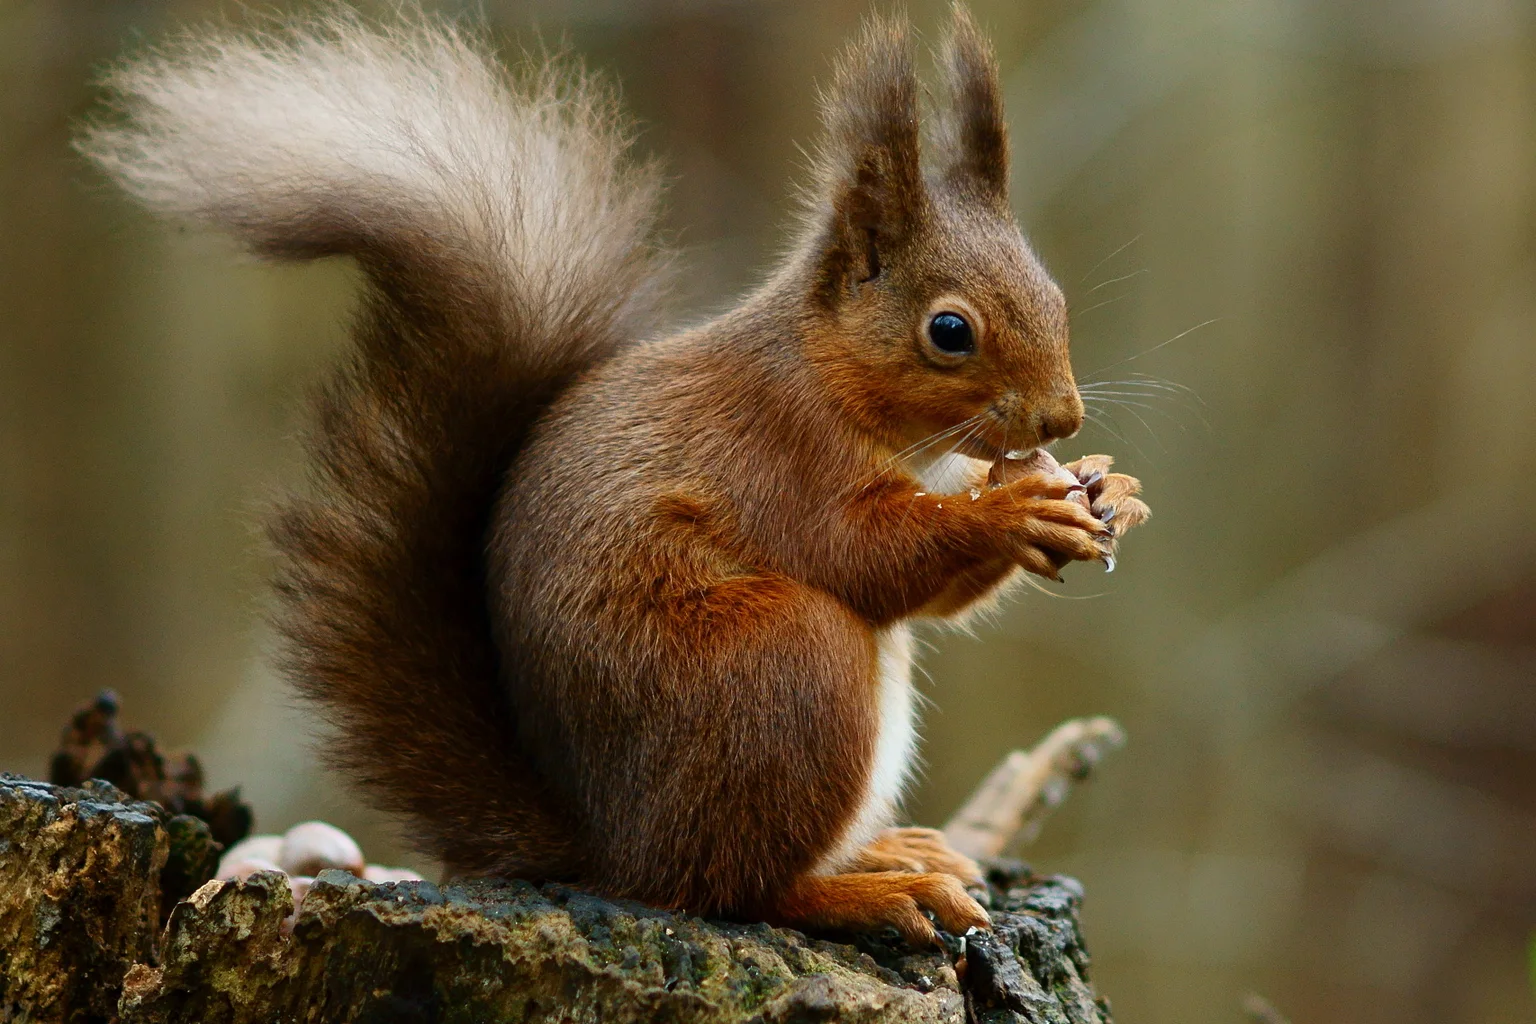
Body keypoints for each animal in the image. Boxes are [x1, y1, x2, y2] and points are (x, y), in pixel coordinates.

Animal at [78, 5, 1149, 945]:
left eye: (1053, 294)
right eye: (949, 331)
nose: (1062, 418)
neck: (833, 382)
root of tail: (612, 848)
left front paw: (1109, 489)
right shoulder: (777, 453)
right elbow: (866, 555)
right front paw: (1015, 510)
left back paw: (891, 852)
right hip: (779, 667)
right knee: (732, 888)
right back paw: (867, 892)